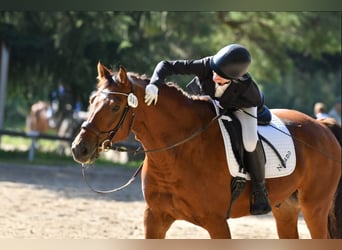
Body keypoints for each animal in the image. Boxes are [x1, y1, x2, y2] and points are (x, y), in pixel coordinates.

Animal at [71, 63, 340, 238]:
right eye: (91, 101)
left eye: (115, 107)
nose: (79, 149)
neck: (177, 153)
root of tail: (321, 126)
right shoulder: (155, 218)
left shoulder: (217, 222)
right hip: (285, 208)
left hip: (314, 209)